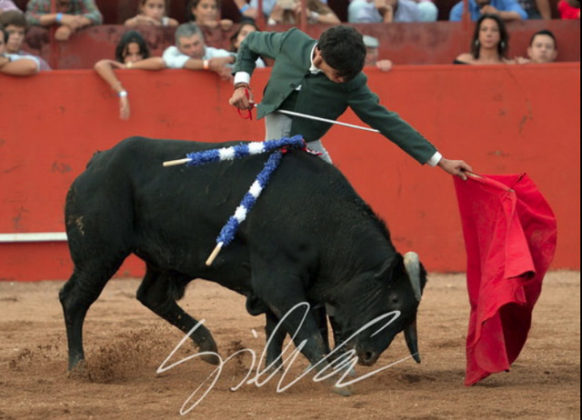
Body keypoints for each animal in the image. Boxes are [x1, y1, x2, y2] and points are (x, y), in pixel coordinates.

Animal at [61, 138, 428, 374]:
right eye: (394, 299)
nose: (368, 354)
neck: (323, 218)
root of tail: (98, 160)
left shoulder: (285, 285)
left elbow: (278, 327)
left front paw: (273, 370)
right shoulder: (277, 281)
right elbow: (302, 326)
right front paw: (323, 371)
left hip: (165, 258)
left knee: (152, 295)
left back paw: (209, 348)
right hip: (100, 254)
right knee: (75, 299)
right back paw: (78, 365)